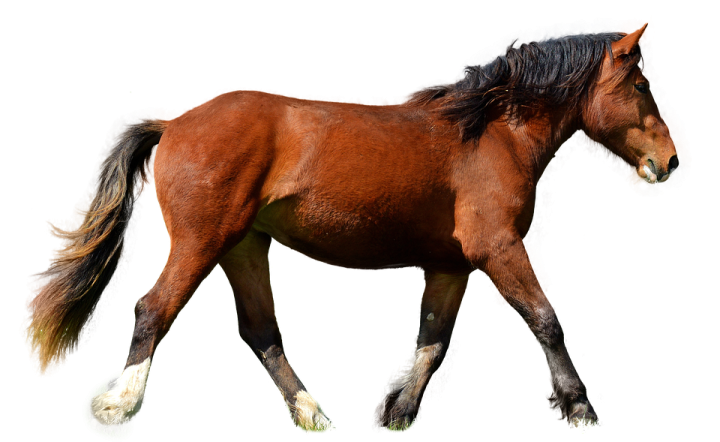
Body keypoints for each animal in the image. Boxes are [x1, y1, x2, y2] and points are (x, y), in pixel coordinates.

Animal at [20, 18, 687, 435]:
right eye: (638, 84)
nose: (671, 160)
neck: (490, 133)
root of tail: (177, 120)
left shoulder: (450, 265)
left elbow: (433, 339)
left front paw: (395, 409)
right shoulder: (496, 248)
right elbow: (545, 319)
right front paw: (581, 408)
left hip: (243, 247)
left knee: (261, 332)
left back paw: (315, 416)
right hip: (201, 242)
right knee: (155, 309)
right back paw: (115, 410)